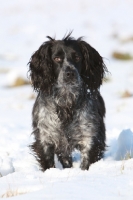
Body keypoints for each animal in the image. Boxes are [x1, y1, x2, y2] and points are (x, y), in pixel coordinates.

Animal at [28, 33, 107, 171]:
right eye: (57, 58)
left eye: (77, 57)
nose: (70, 73)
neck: (66, 100)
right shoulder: (45, 137)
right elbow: (48, 164)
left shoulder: (90, 137)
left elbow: (86, 163)